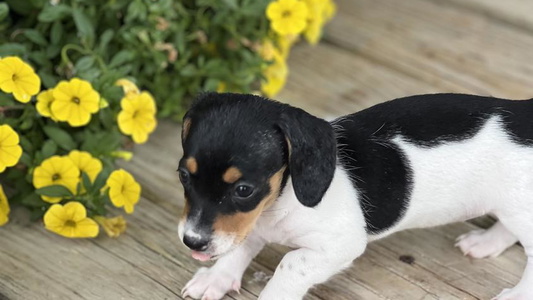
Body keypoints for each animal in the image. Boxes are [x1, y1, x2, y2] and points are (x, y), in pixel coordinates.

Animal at [178, 92, 532, 298]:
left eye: (243, 190)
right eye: (183, 175)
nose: (192, 242)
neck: (283, 197)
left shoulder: (339, 245)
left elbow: (288, 266)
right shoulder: (245, 226)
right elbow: (237, 249)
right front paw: (216, 278)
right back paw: (486, 242)